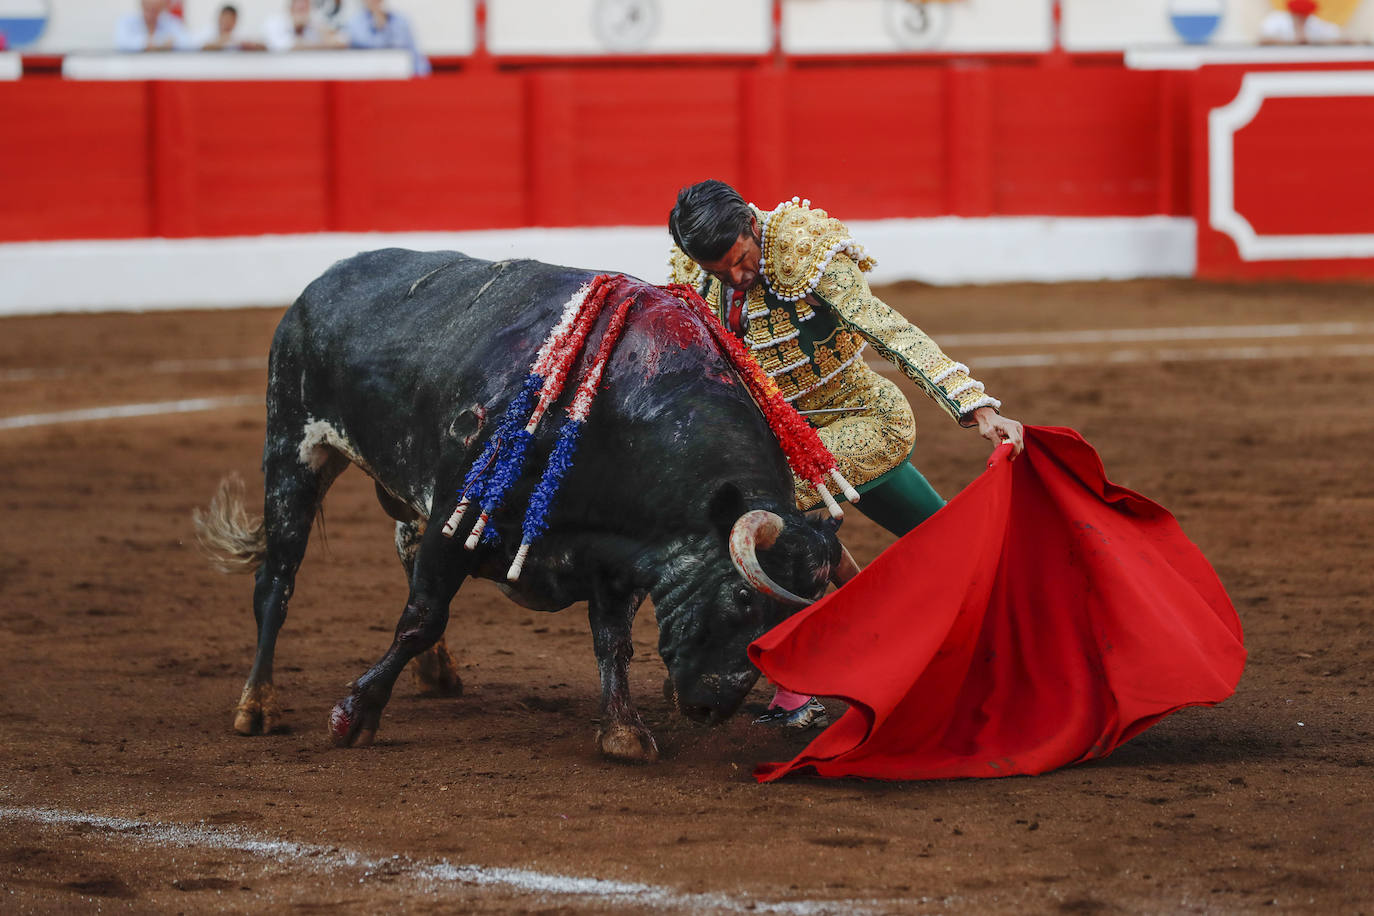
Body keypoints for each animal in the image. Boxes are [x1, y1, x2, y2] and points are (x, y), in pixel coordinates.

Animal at [196, 247, 846, 763]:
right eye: (743, 597)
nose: (714, 705)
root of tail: (322, 282)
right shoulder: (457, 515)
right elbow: (422, 617)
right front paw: (353, 716)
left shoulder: (619, 557)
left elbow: (612, 640)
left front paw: (623, 731)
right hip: (295, 446)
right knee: (277, 580)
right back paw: (257, 707)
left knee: (399, 547)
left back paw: (438, 674)